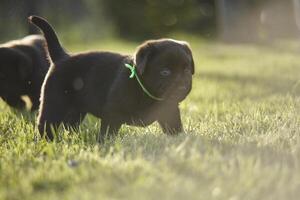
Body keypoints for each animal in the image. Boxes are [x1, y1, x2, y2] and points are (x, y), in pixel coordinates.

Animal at [29, 15, 195, 141]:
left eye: (187, 70)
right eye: (165, 72)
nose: (182, 86)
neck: (144, 89)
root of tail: (62, 57)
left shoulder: (169, 110)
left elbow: (174, 128)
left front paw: (181, 140)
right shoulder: (112, 113)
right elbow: (107, 132)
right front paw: (105, 144)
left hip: (76, 110)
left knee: (70, 125)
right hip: (54, 103)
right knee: (46, 124)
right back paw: (47, 141)